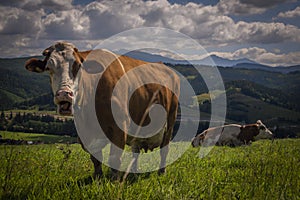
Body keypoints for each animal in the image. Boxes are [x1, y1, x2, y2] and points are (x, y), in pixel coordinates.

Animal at [24, 41, 179, 179]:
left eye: (78, 66)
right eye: (49, 68)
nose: (64, 94)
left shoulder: (119, 126)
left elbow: (114, 158)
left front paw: (114, 182)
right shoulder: (85, 134)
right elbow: (96, 159)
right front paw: (98, 178)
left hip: (171, 119)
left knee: (164, 149)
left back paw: (161, 172)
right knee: (136, 150)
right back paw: (134, 172)